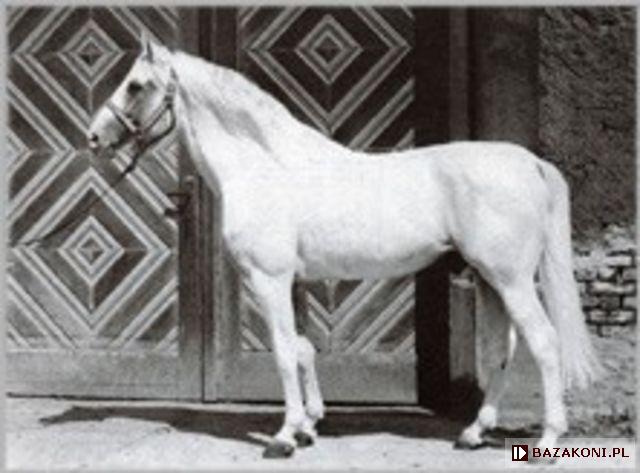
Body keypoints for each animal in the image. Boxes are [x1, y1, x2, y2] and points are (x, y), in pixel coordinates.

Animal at [87, 35, 602, 459]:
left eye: (135, 86)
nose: (93, 137)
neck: (264, 168)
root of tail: (529, 162)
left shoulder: (269, 280)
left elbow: (282, 350)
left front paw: (283, 437)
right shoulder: (292, 282)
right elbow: (302, 349)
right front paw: (309, 427)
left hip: (511, 280)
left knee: (544, 343)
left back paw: (549, 440)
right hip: (489, 280)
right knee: (501, 348)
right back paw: (473, 433)